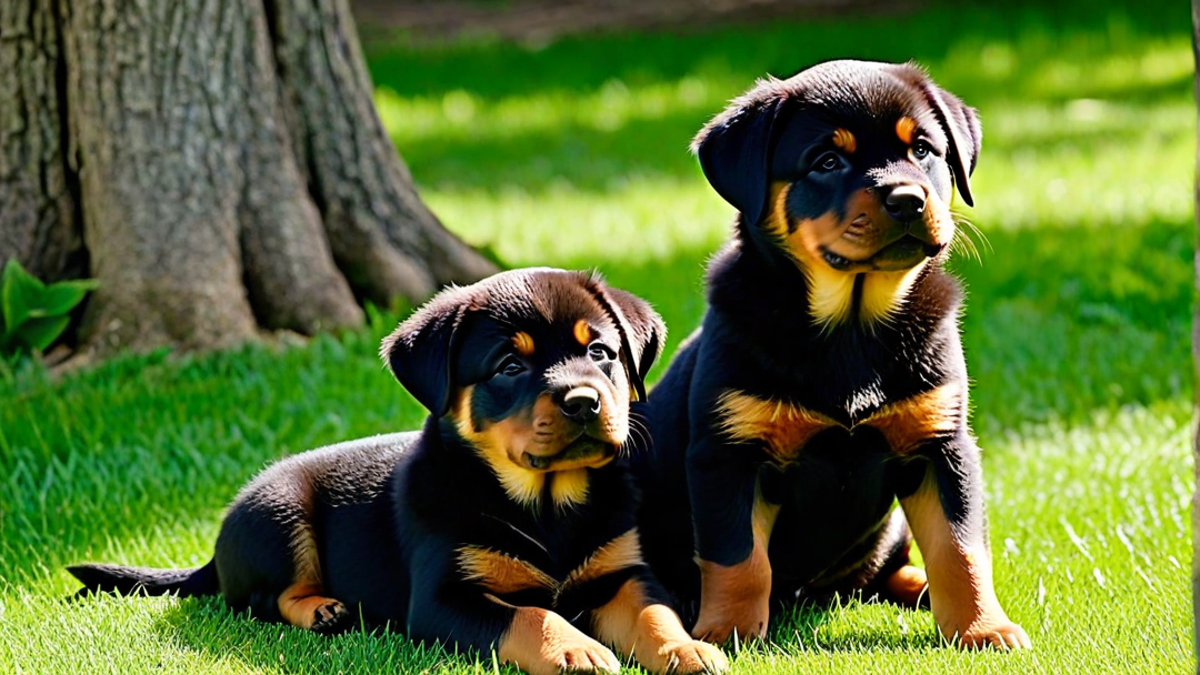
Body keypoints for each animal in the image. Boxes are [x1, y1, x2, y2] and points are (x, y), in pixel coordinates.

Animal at [70, 265, 724, 672]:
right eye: (510, 366)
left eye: (600, 352)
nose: (584, 402)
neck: (547, 505)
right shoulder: (444, 598)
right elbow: (531, 615)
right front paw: (577, 649)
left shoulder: (623, 572)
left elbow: (656, 612)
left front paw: (688, 650)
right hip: (280, 515)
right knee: (261, 597)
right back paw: (322, 609)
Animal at [638, 60, 1032, 648]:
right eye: (827, 161)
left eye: (923, 149)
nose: (908, 199)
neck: (851, 327)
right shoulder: (727, 453)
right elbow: (737, 558)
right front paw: (728, 631)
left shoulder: (942, 445)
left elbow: (959, 549)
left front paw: (984, 627)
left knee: (889, 570)